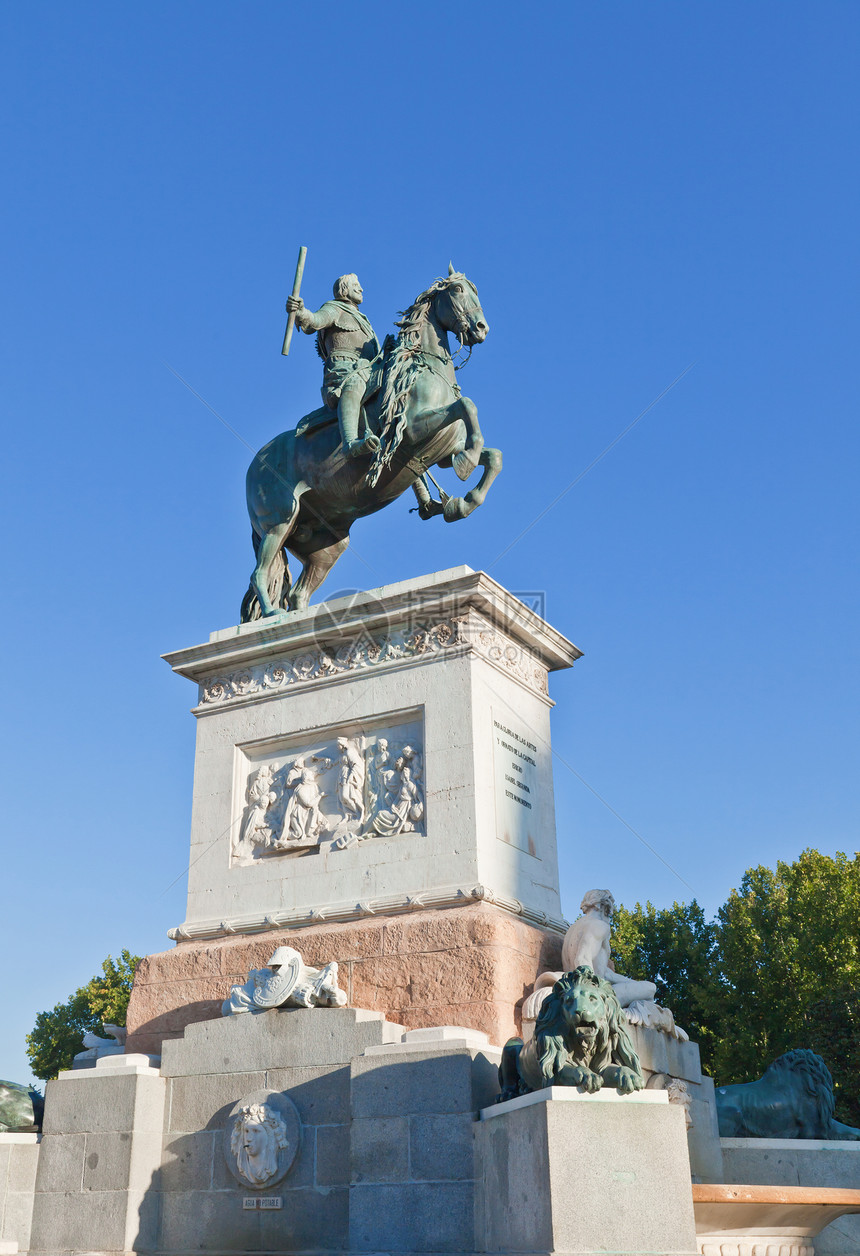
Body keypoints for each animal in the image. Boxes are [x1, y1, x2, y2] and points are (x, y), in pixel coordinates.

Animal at [238, 265, 499, 617]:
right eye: (457, 290)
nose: (481, 328)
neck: (422, 368)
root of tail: (255, 466)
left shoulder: (441, 450)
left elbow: (492, 455)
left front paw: (463, 500)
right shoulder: (412, 430)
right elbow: (467, 406)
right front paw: (467, 466)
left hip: (327, 544)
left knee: (297, 593)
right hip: (279, 521)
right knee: (260, 573)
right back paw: (270, 614)